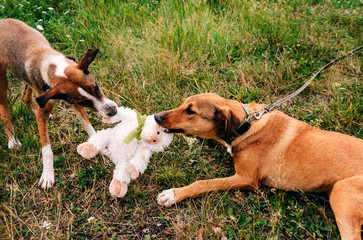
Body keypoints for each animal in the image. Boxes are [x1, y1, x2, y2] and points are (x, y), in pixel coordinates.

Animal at [0, 18, 116, 189]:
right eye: (84, 100)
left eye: (95, 87)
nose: (112, 111)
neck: (52, 67)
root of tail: (3, 20)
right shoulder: (56, 102)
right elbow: (46, 150)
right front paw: (48, 175)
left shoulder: (73, 104)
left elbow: (91, 131)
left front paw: (104, 151)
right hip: (2, 79)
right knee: (5, 111)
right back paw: (13, 140)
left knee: (25, 97)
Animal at [156, 92, 363, 240]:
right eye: (183, 104)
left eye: (191, 111)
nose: (156, 117)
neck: (246, 124)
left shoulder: (247, 179)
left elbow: (204, 182)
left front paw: (173, 194)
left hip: (341, 191)